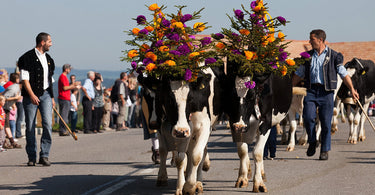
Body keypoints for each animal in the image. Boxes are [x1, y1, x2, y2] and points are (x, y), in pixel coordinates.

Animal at [223, 60, 294, 192]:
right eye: (231, 96)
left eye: (251, 96)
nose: (240, 126)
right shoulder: (233, 123)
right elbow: (242, 151)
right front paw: (242, 178)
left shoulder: (265, 122)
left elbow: (257, 153)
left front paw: (258, 183)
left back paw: (261, 173)